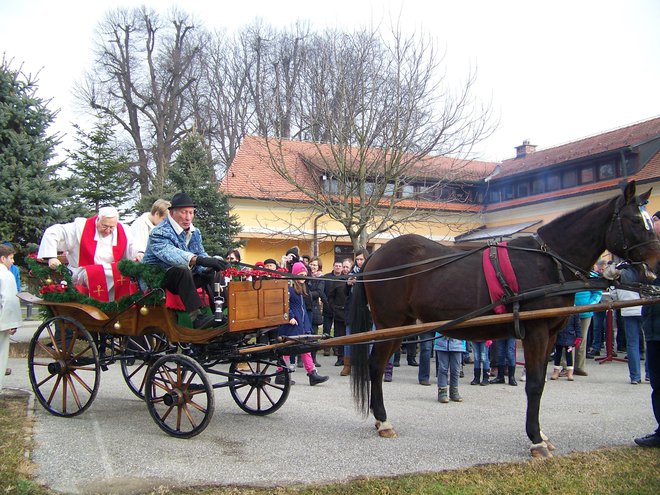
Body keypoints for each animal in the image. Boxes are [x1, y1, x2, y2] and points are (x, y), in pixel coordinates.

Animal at [348, 181, 660, 458]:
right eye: (635, 220)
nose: (656, 264)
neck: (549, 262)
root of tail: (373, 258)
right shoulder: (536, 332)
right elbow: (533, 384)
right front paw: (535, 439)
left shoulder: (551, 335)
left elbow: (540, 382)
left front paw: (541, 433)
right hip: (390, 324)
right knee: (376, 366)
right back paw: (383, 420)